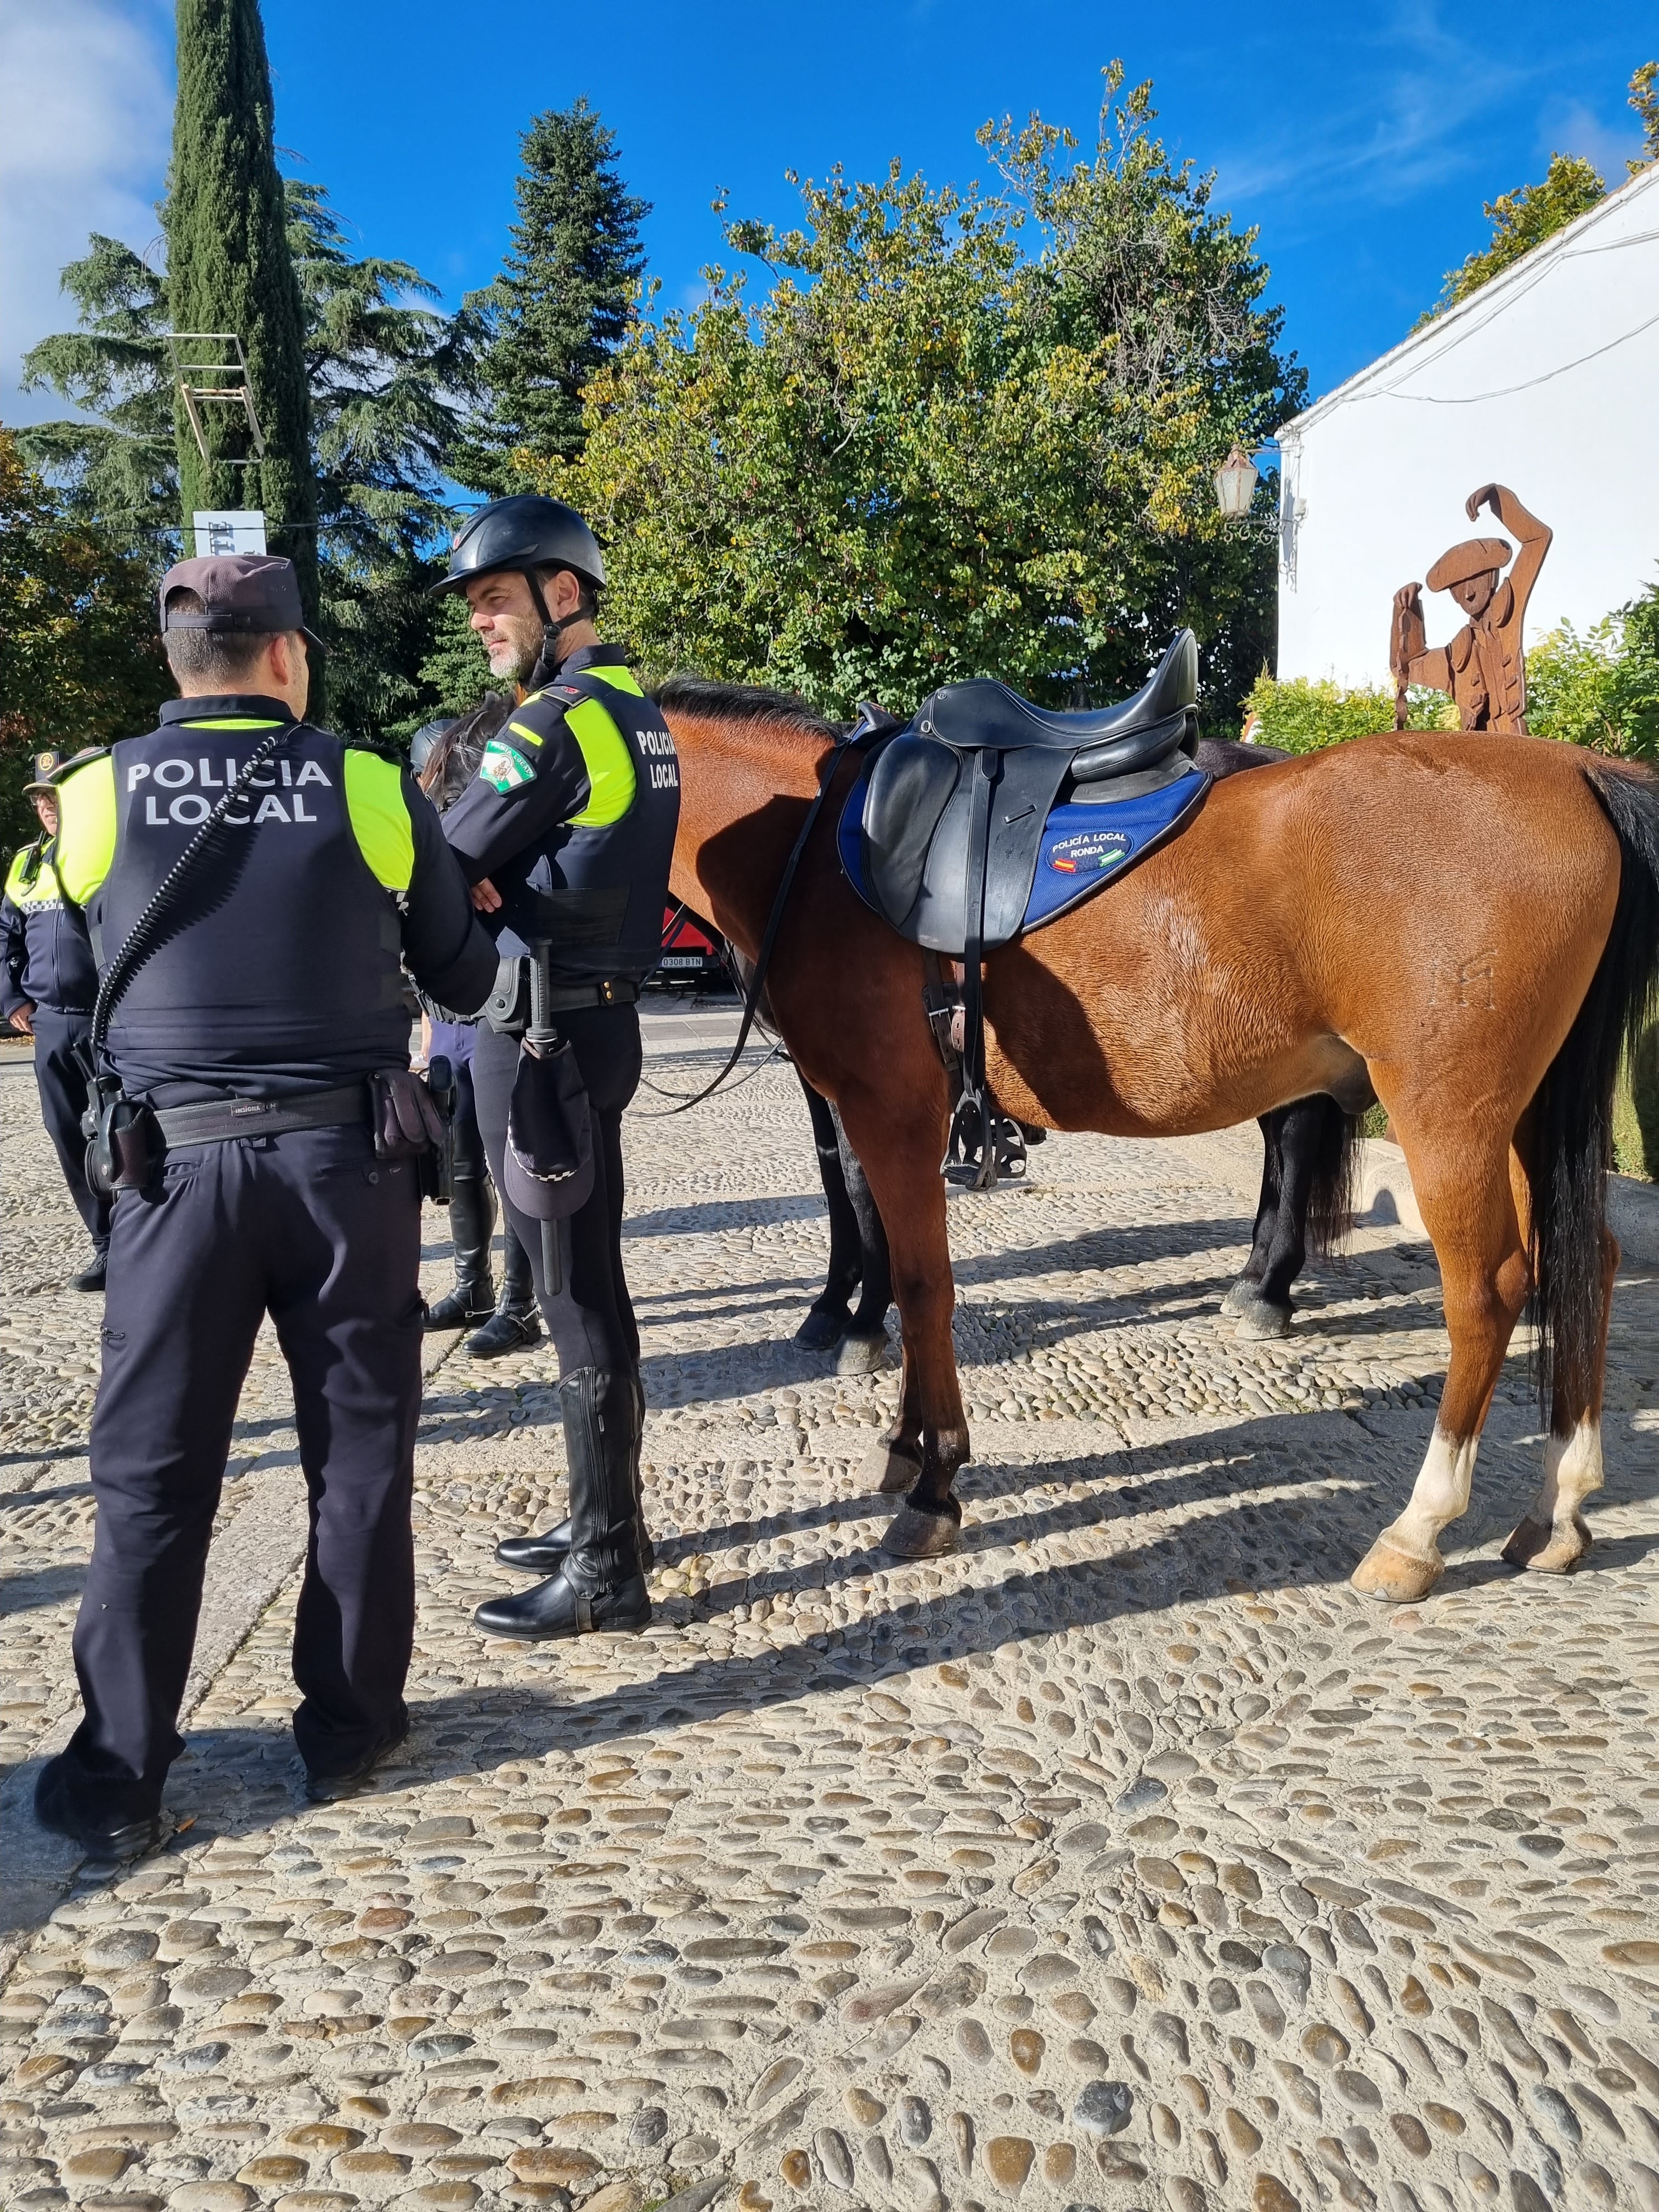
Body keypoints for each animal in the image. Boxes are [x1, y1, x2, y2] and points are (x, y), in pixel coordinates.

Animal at [659, 676, 1659, 1610]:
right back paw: (1557, 1510)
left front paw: (931, 1477)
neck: (815, 851)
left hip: (1446, 1112)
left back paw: (1416, 1529)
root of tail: (1577, 771)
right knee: (1584, 1261)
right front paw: (903, 1442)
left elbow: (918, 1282)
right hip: (1522, 1114)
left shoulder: (887, 1112)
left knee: (1486, 1289)